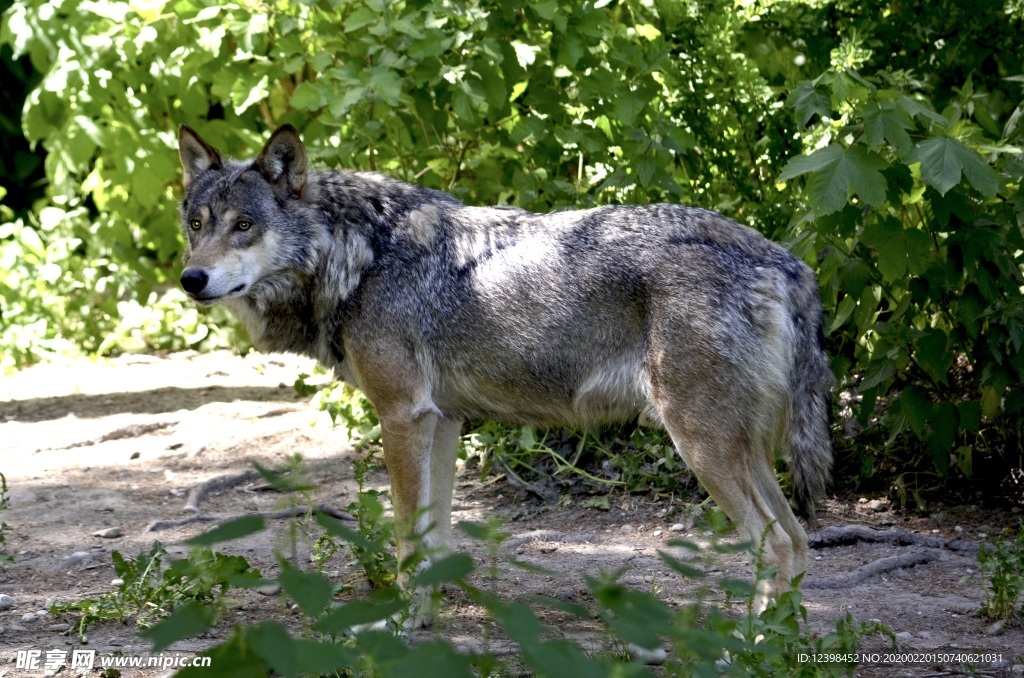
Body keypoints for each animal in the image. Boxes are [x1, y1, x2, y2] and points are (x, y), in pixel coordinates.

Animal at [176, 124, 831, 618]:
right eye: (197, 224)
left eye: (244, 225)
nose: (191, 279)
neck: (359, 255)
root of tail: (785, 262)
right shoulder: (441, 422)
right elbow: (434, 536)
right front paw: (432, 620)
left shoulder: (402, 417)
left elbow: (406, 539)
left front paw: (402, 625)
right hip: (742, 449)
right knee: (799, 542)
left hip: (701, 445)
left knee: (777, 546)